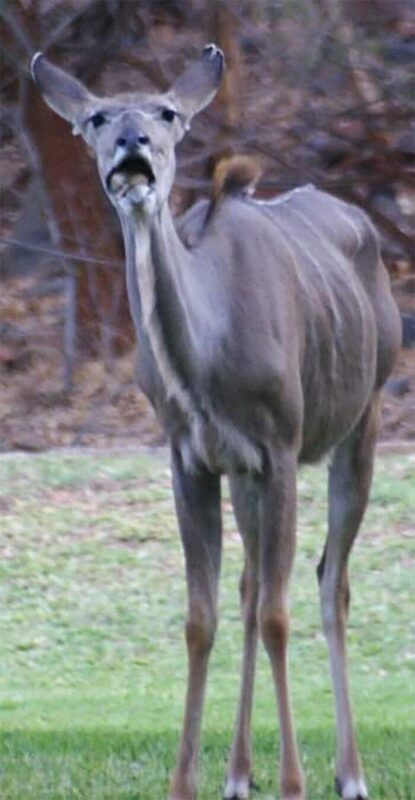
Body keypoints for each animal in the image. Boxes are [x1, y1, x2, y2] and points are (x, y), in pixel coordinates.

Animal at [31, 45, 404, 800]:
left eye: (167, 113)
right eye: (97, 117)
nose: (133, 146)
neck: (205, 360)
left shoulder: (281, 446)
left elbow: (279, 613)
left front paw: (293, 781)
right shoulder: (193, 458)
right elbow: (202, 617)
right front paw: (187, 781)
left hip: (364, 417)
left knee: (330, 583)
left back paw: (348, 773)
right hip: (247, 475)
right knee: (251, 584)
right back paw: (237, 773)